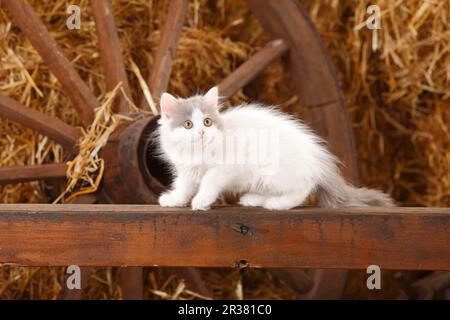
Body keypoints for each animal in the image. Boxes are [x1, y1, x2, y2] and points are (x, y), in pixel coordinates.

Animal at [156, 87, 394, 210]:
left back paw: (276, 204)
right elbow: (183, 186)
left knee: (302, 189)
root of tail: (318, 162)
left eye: (207, 122)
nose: (201, 132)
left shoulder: (225, 168)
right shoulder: (186, 171)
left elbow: (208, 182)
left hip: (274, 173)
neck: (198, 152)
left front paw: (201, 201)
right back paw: (253, 199)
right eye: (188, 124)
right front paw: (174, 200)